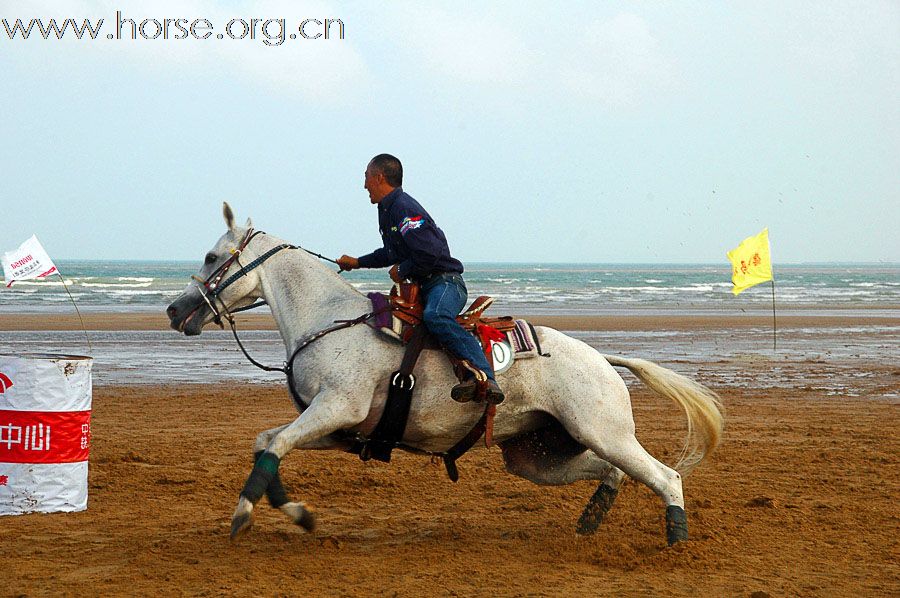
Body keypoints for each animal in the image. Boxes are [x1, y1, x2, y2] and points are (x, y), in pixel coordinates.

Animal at [165, 206, 720, 548]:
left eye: (212, 256)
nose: (175, 310)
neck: (327, 317)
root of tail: (604, 360)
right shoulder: (339, 427)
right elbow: (266, 443)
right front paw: (297, 512)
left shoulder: (337, 407)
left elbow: (276, 446)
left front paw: (243, 515)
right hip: (537, 455)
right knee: (612, 473)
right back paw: (591, 518)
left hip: (603, 430)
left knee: (663, 476)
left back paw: (676, 541)